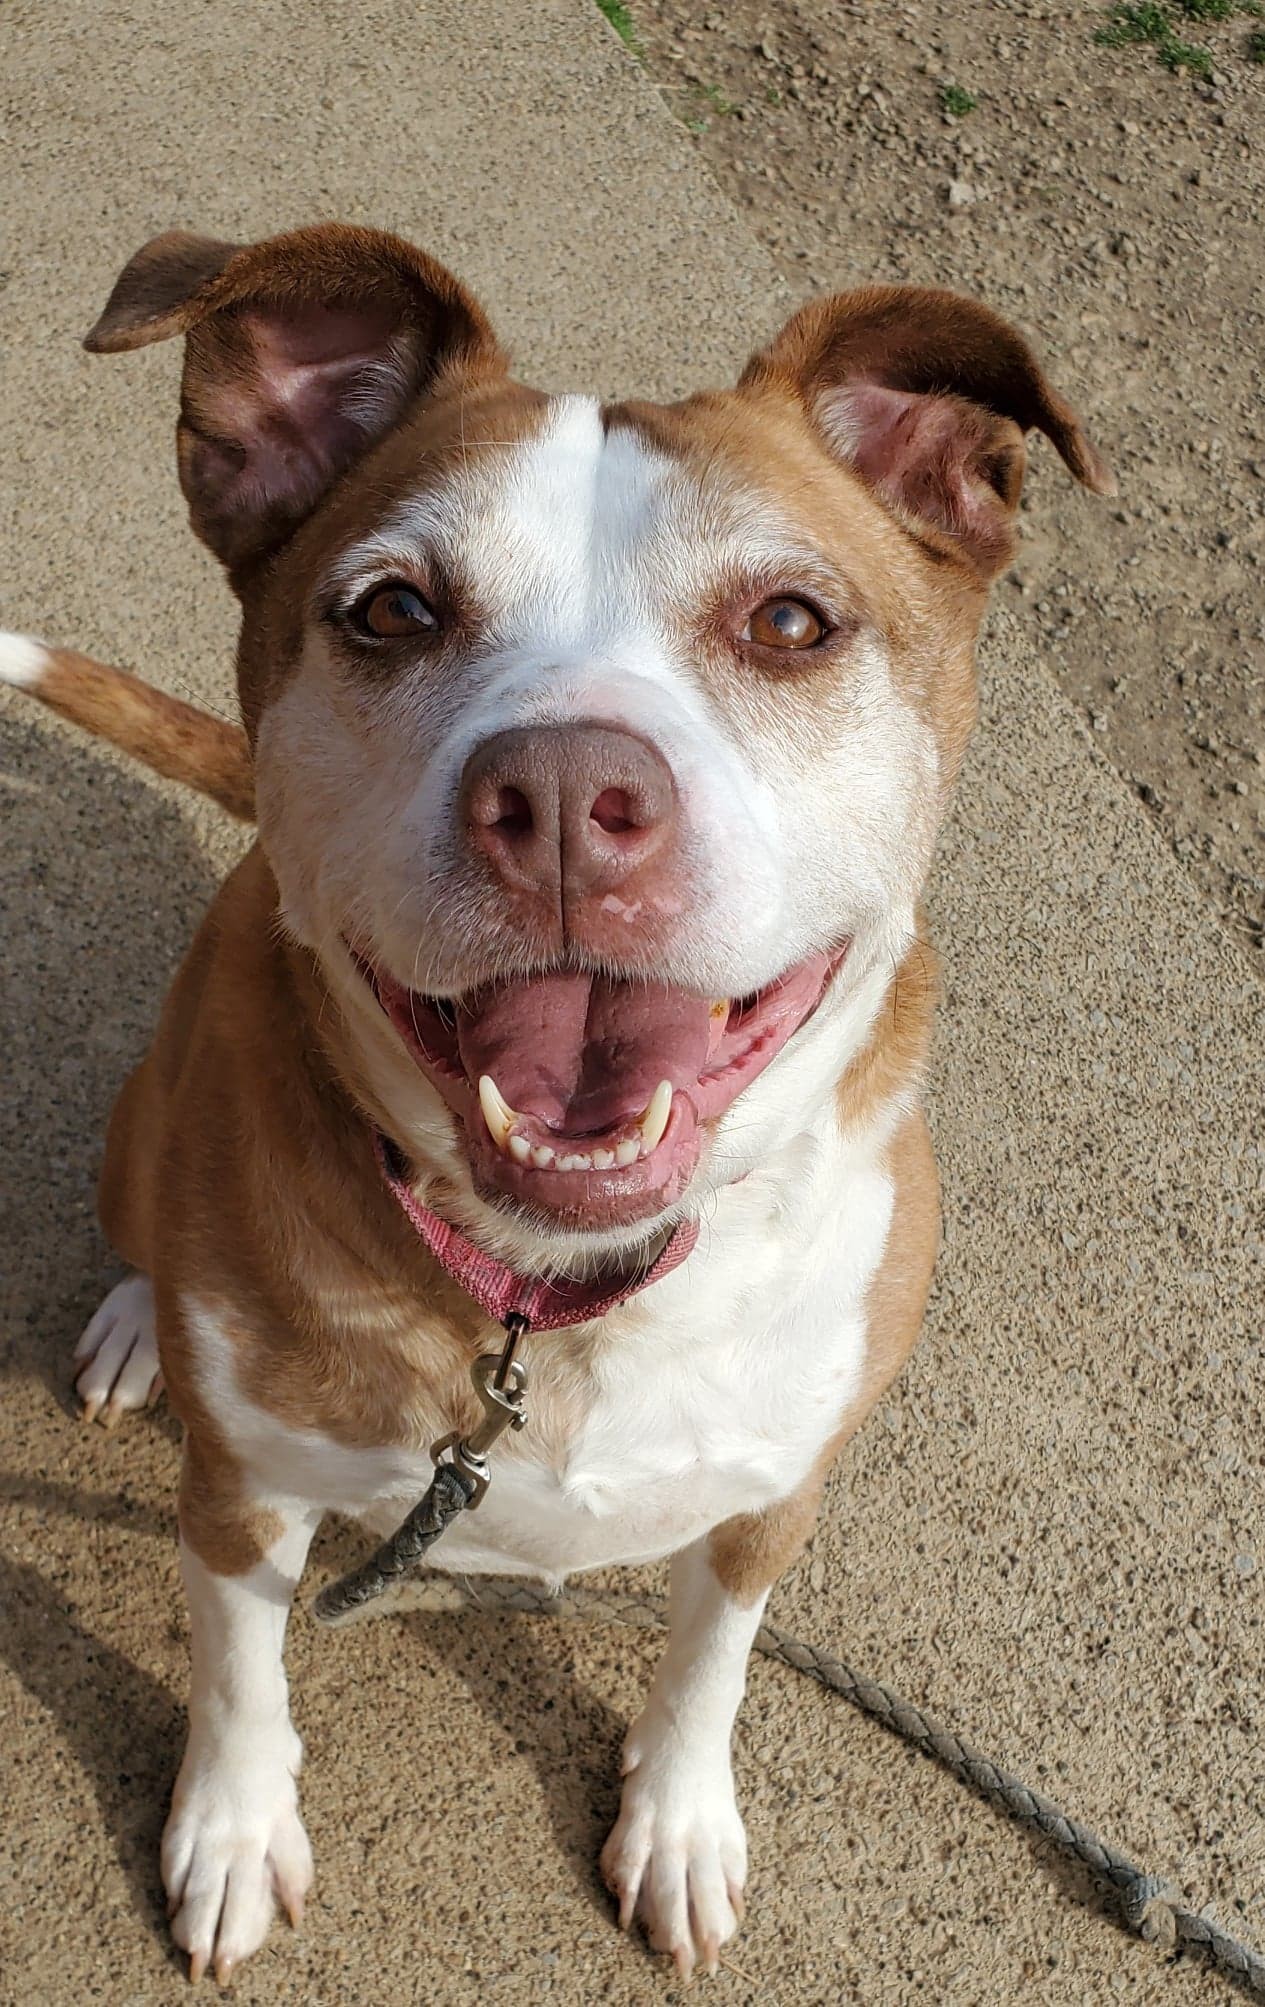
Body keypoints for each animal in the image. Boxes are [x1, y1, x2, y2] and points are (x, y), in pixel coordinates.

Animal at [0, 227, 1108, 1982]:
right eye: (392, 607)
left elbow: (710, 1658)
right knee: (139, 1222)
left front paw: (678, 1821)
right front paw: (232, 1833)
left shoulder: (773, 1494)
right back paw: (130, 1322)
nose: (573, 795)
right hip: (139, 1127)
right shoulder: (238, 1500)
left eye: (790, 618)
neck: (559, 1291)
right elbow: (241, 1673)